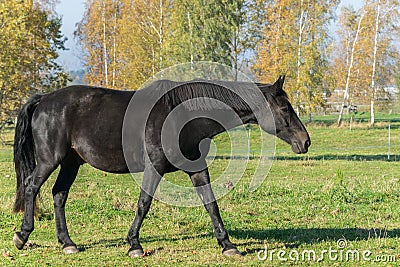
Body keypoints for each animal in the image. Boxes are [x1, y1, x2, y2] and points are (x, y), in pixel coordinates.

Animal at [11, 75, 310, 258]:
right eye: (285, 108)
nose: (305, 141)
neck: (182, 115)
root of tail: (45, 99)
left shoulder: (197, 169)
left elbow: (211, 204)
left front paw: (227, 244)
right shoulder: (154, 168)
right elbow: (144, 204)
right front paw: (134, 244)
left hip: (71, 162)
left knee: (59, 195)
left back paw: (67, 243)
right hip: (50, 160)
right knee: (31, 187)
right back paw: (22, 236)